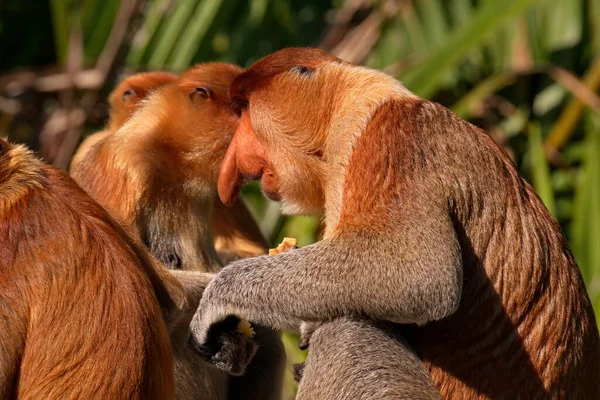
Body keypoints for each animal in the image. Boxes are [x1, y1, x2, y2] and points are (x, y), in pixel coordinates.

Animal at [191, 48, 600, 398]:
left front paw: (217, 300)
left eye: (245, 111)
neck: (350, 103)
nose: (232, 168)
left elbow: (417, 274)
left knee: (347, 329)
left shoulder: (390, 141)